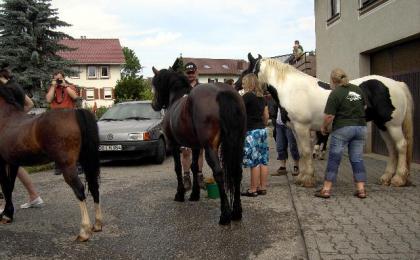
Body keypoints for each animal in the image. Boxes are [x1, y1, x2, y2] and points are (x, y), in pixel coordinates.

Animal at [0, 80, 101, 241]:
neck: (5, 117)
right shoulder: (13, 162)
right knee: (94, 186)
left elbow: (5, 187)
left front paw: (6, 215)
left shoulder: (1, 162)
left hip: (68, 165)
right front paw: (8, 214)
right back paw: (97, 224)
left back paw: (84, 231)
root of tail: (76, 112)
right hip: (86, 161)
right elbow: (9, 187)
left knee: (79, 189)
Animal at [151, 67, 246, 225]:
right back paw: (237, 212)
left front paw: (180, 194)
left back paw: (225, 214)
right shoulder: (195, 146)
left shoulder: (174, 144)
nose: (154, 104)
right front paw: (195, 194)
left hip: (211, 148)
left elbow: (178, 168)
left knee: (219, 173)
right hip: (239, 143)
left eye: (155, 84)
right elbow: (194, 166)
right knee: (237, 171)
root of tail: (221, 91)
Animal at [238, 53, 416, 187]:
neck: (291, 89)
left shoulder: (302, 127)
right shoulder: (296, 129)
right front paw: (302, 177)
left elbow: (306, 151)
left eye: (245, 71)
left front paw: (307, 179)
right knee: (392, 149)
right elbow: (302, 152)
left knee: (401, 146)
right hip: (383, 125)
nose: (236, 86)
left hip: (393, 125)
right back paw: (387, 178)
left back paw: (398, 179)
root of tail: (397, 84)